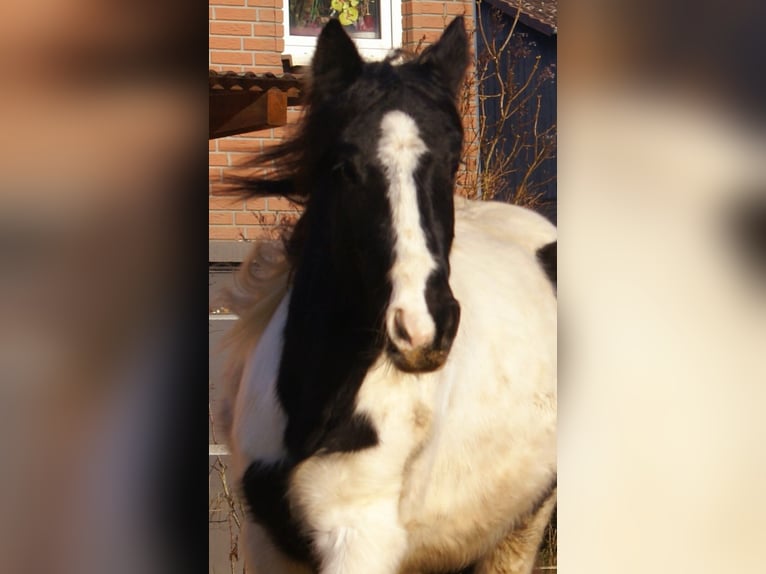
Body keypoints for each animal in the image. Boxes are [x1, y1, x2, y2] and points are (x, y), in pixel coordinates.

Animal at [219, 18, 560, 574]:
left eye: (454, 159)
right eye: (343, 166)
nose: (423, 329)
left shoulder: (359, 539)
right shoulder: (264, 542)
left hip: (523, 524)